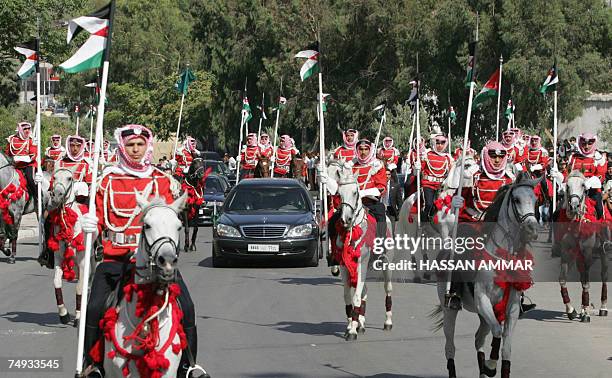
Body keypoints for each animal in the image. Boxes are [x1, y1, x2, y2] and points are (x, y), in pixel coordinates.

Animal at [46, 167, 93, 326]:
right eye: (54, 177)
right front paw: (63, 314)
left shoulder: (83, 260)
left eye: (69, 178)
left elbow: (80, 286)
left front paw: (78, 317)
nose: (57, 195)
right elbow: (56, 282)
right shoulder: (59, 258)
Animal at [328, 161, 394, 342]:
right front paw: (352, 324)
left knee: (387, 289)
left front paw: (352, 331)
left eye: (355, 192)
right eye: (339, 193)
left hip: (386, 264)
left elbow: (356, 296)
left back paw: (388, 322)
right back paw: (361, 323)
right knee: (364, 291)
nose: (346, 219)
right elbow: (348, 296)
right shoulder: (345, 266)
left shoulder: (361, 263)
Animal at [428, 173, 536, 378]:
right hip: (450, 310)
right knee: (450, 347)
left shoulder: (512, 309)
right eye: (516, 200)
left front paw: (491, 366)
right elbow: (497, 331)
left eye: (535, 199)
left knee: (478, 339)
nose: (532, 228)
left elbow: (506, 348)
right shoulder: (483, 300)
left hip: (484, 315)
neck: (502, 257)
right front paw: (491, 366)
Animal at [556, 171, 608, 322]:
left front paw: (585, 312)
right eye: (567, 186)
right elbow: (562, 279)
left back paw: (603, 307)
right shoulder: (567, 252)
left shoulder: (587, 253)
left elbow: (586, 282)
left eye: (583, 186)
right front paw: (571, 310)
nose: (574, 206)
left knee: (604, 275)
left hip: (604, 253)